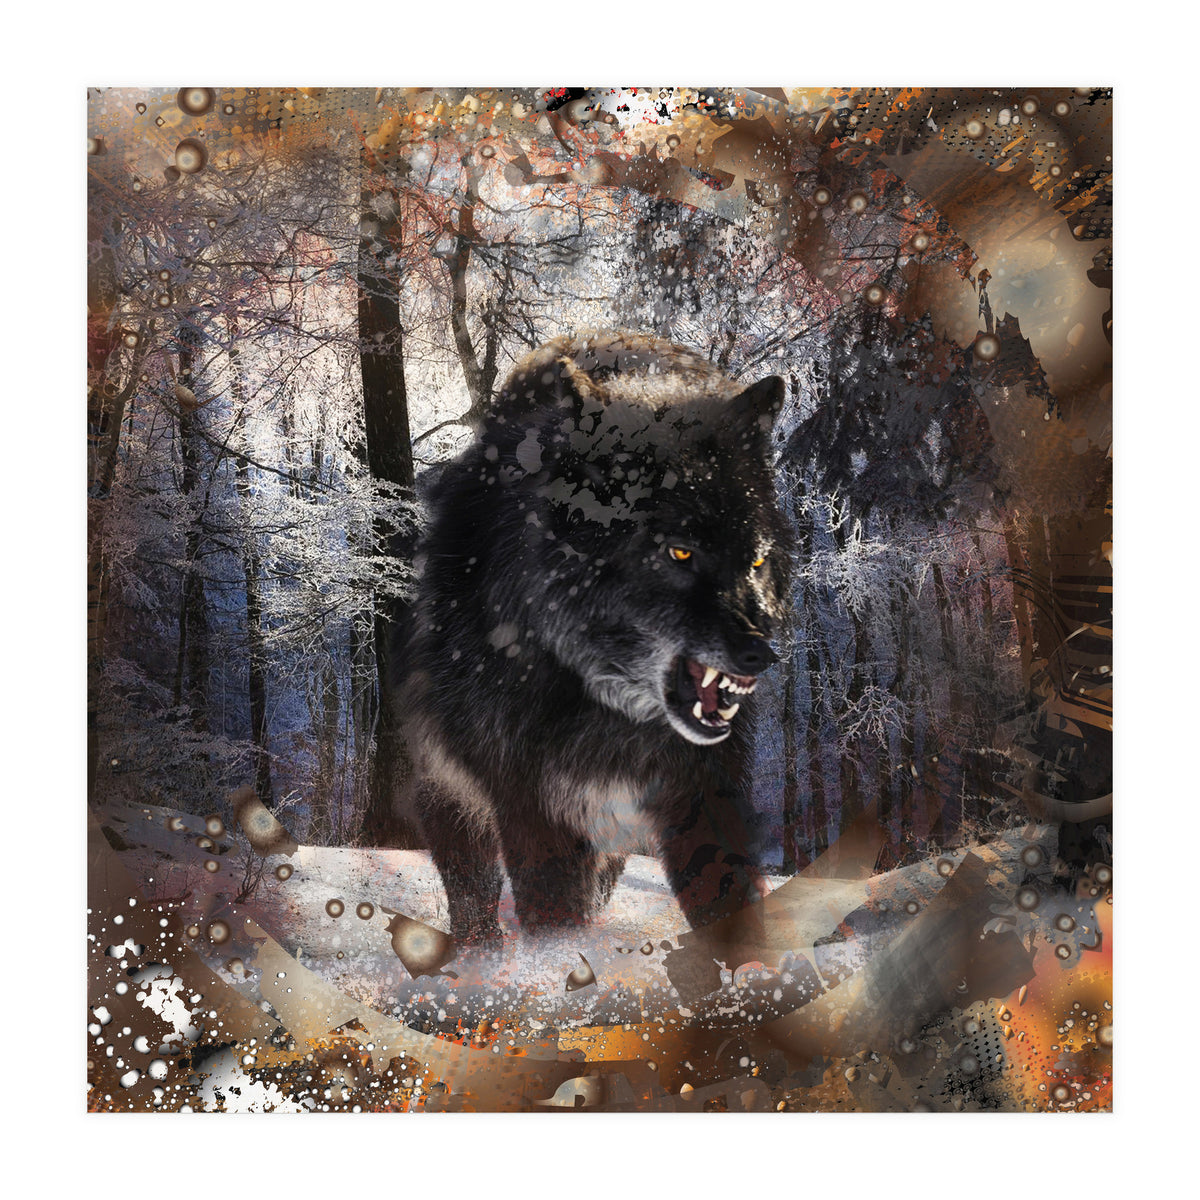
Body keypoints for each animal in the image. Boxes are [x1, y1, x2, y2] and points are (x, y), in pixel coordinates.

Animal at [401, 331, 792, 947]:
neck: (614, 712)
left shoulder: (702, 795)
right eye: (680, 551)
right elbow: (553, 923)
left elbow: (733, 913)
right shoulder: (534, 810)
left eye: (755, 561)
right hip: (453, 803)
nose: (760, 655)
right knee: (473, 900)